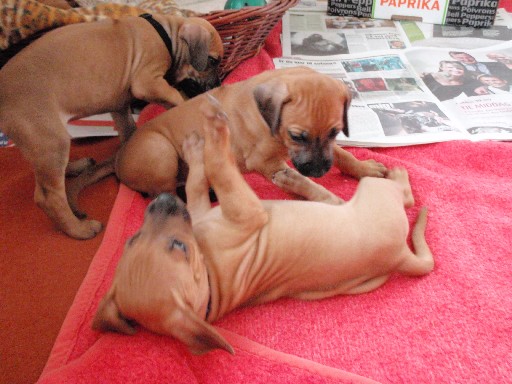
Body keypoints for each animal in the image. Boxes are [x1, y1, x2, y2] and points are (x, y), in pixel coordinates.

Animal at [0, 13, 224, 238]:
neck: (167, 33)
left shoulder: (120, 106)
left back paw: (77, 167)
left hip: (44, 143)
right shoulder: (148, 81)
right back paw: (80, 229)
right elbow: (175, 96)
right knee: (48, 196)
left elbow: (127, 128)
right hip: (51, 139)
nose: (218, 84)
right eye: (212, 61)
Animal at [94, 97, 434, 356]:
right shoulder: (247, 209)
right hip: (374, 193)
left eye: (132, 240)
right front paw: (213, 127)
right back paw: (399, 175)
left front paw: (195, 147)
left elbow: (198, 182)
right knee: (403, 196)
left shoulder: (200, 209)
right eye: (179, 248)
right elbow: (220, 167)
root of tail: (401, 256)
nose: (162, 202)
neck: (208, 276)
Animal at [117, 66, 388, 204]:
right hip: (159, 149)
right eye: (297, 136)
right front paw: (335, 202)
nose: (321, 171)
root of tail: (119, 163)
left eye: (335, 131)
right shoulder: (268, 164)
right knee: (166, 196)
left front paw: (364, 168)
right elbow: (307, 184)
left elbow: (342, 155)